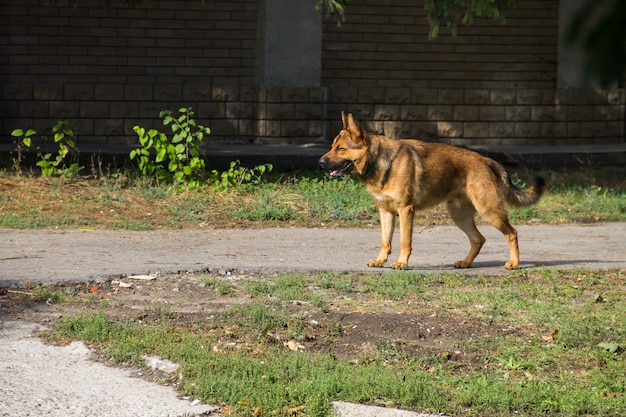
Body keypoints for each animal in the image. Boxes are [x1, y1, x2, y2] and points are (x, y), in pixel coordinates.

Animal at [316, 112, 540, 270]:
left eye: (340, 148)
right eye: (332, 146)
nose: (320, 162)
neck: (378, 159)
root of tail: (486, 160)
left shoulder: (406, 211)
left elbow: (404, 241)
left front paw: (401, 263)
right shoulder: (386, 212)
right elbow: (385, 241)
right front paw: (381, 260)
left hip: (490, 211)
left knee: (512, 233)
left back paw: (514, 263)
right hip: (459, 216)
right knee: (478, 239)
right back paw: (466, 263)